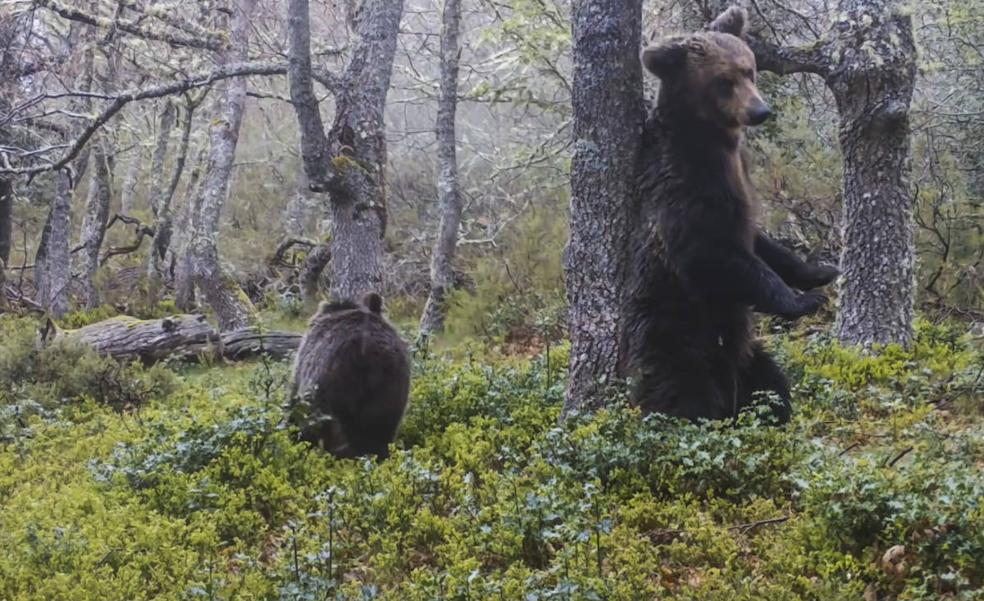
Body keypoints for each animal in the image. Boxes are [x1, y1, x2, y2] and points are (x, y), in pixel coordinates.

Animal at [620, 7, 836, 424]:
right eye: (724, 81)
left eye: (749, 70)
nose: (760, 110)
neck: (717, 144)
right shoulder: (686, 186)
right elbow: (713, 255)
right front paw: (804, 301)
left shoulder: (742, 187)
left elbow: (763, 242)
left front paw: (820, 271)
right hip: (675, 333)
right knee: (683, 392)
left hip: (748, 355)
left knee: (771, 381)